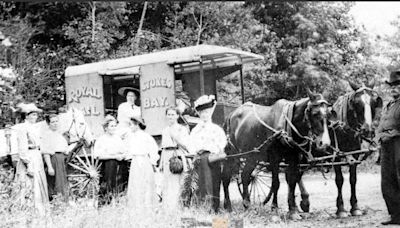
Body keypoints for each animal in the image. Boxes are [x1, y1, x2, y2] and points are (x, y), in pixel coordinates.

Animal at [220, 89, 336, 219]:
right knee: (226, 177)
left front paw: (293, 210)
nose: (325, 143)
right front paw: (274, 208)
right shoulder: (274, 157)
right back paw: (228, 206)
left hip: (252, 157)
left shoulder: (293, 157)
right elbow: (276, 183)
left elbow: (292, 181)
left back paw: (247, 204)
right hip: (232, 155)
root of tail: (231, 114)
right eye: (315, 114)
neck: (287, 124)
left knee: (245, 176)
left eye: (329, 115)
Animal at [330, 81, 382, 218]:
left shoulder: (355, 154)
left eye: (374, 102)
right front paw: (341, 209)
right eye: (357, 103)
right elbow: (339, 180)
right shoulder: (336, 156)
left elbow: (353, 179)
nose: (367, 130)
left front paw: (355, 207)